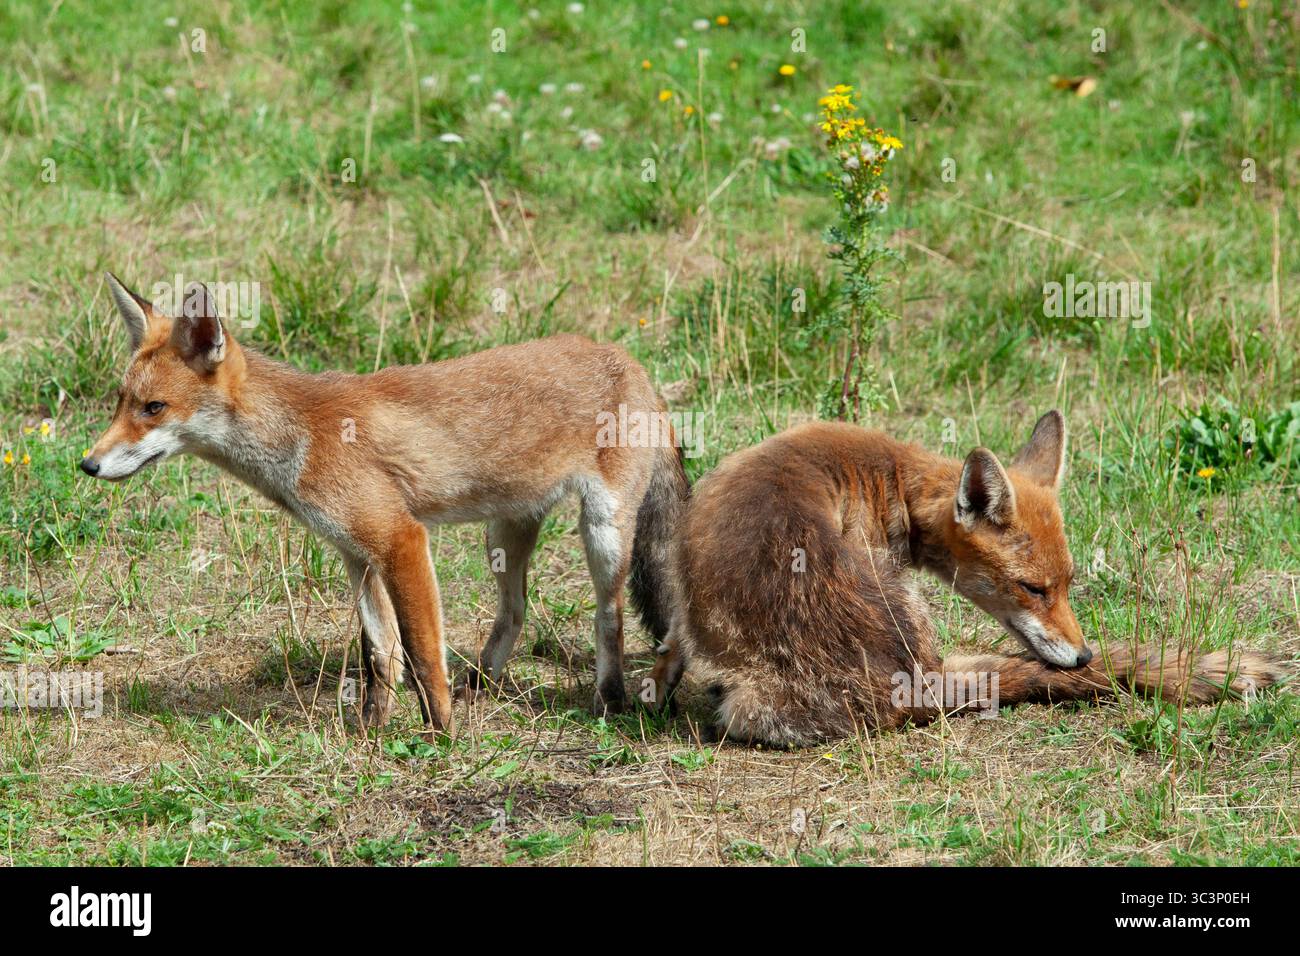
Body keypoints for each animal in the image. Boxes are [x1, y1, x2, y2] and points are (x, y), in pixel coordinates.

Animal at [83, 273, 688, 733]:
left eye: (154, 408)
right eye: (120, 402)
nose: (87, 465)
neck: (299, 439)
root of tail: (630, 360)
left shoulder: (400, 539)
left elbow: (421, 653)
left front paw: (442, 734)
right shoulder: (357, 553)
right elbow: (381, 654)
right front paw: (373, 729)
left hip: (603, 532)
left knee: (609, 617)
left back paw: (610, 699)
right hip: (503, 532)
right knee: (516, 609)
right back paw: (482, 684)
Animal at [648, 411, 1288, 747]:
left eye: (1070, 583)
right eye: (1034, 589)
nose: (1084, 657)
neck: (890, 485)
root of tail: (908, 684)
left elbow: (672, 641)